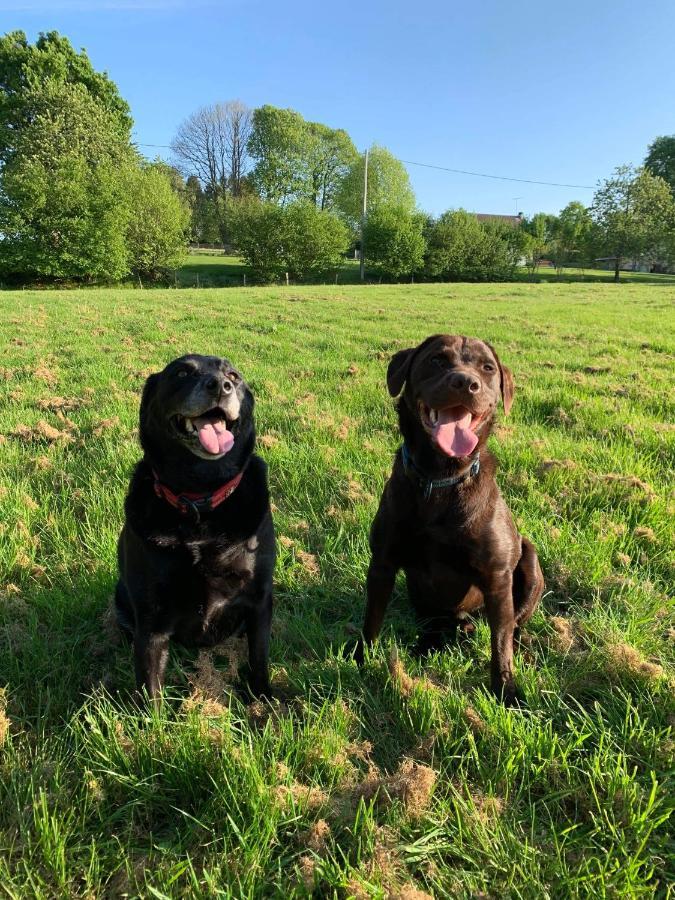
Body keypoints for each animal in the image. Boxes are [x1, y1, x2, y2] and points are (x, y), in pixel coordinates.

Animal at [116, 354, 274, 704]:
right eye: (182, 372)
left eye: (234, 376)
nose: (220, 386)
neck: (200, 501)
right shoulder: (151, 617)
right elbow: (149, 686)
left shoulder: (260, 599)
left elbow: (259, 658)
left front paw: (264, 704)